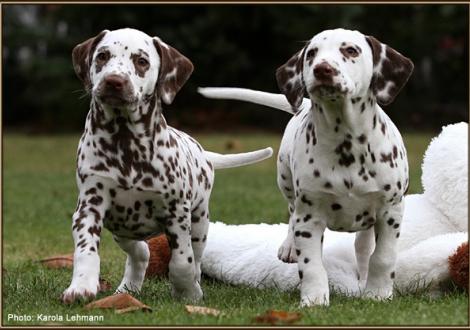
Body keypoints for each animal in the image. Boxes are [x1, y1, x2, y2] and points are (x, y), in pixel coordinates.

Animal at [61, 28, 272, 304]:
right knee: (140, 253)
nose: (114, 81)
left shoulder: (177, 212)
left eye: (141, 61)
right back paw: (126, 289)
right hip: (121, 227)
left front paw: (189, 293)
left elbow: (182, 262)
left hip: (199, 222)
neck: (126, 143)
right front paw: (81, 287)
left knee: (195, 257)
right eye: (102, 56)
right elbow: (86, 249)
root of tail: (204, 154)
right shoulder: (90, 206)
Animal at [198, 29, 414, 306]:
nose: (322, 69)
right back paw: (290, 246)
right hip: (286, 180)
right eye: (311, 53)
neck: (346, 144)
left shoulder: (391, 210)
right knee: (292, 210)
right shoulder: (310, 215)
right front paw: (314, 299)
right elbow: (311, 265)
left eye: (351, 50)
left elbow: (383, 257)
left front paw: (378, 293)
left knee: (363, 246)